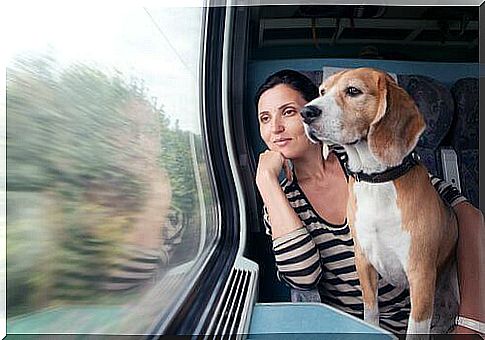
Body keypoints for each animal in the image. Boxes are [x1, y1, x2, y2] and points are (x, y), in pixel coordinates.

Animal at [302, 67, 458, 338]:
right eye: (322, 91)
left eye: (353, 91)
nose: (306, 112)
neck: (376, 180)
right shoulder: (364, 262)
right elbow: (371, 313)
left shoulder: (421, 276)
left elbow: (415, 329)